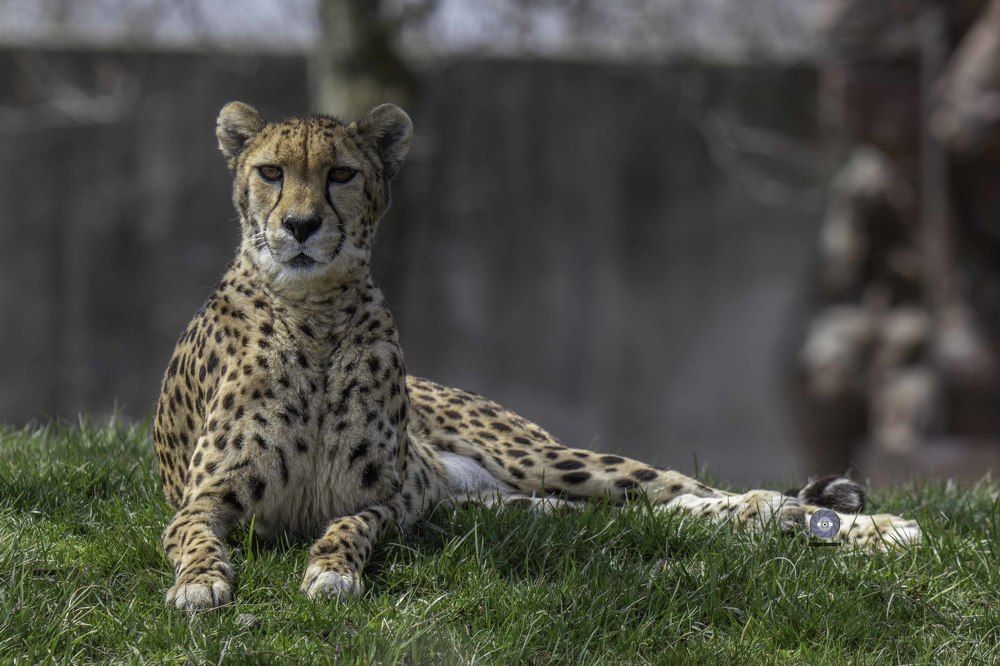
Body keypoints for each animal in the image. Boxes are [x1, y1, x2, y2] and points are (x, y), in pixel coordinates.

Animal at [152, 101, 922, 613]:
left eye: (341, 173)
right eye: (271, 172)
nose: (301, 225)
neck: (314, 312)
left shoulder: (381, 500)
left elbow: (350, 526)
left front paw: (333, 569)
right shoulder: (202, 501)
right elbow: (194, 540)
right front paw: (200, 584)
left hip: (550, 460)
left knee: (695, 493)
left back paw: (872, 526)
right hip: (514, 507)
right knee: (658, 516)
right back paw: (786, 519)